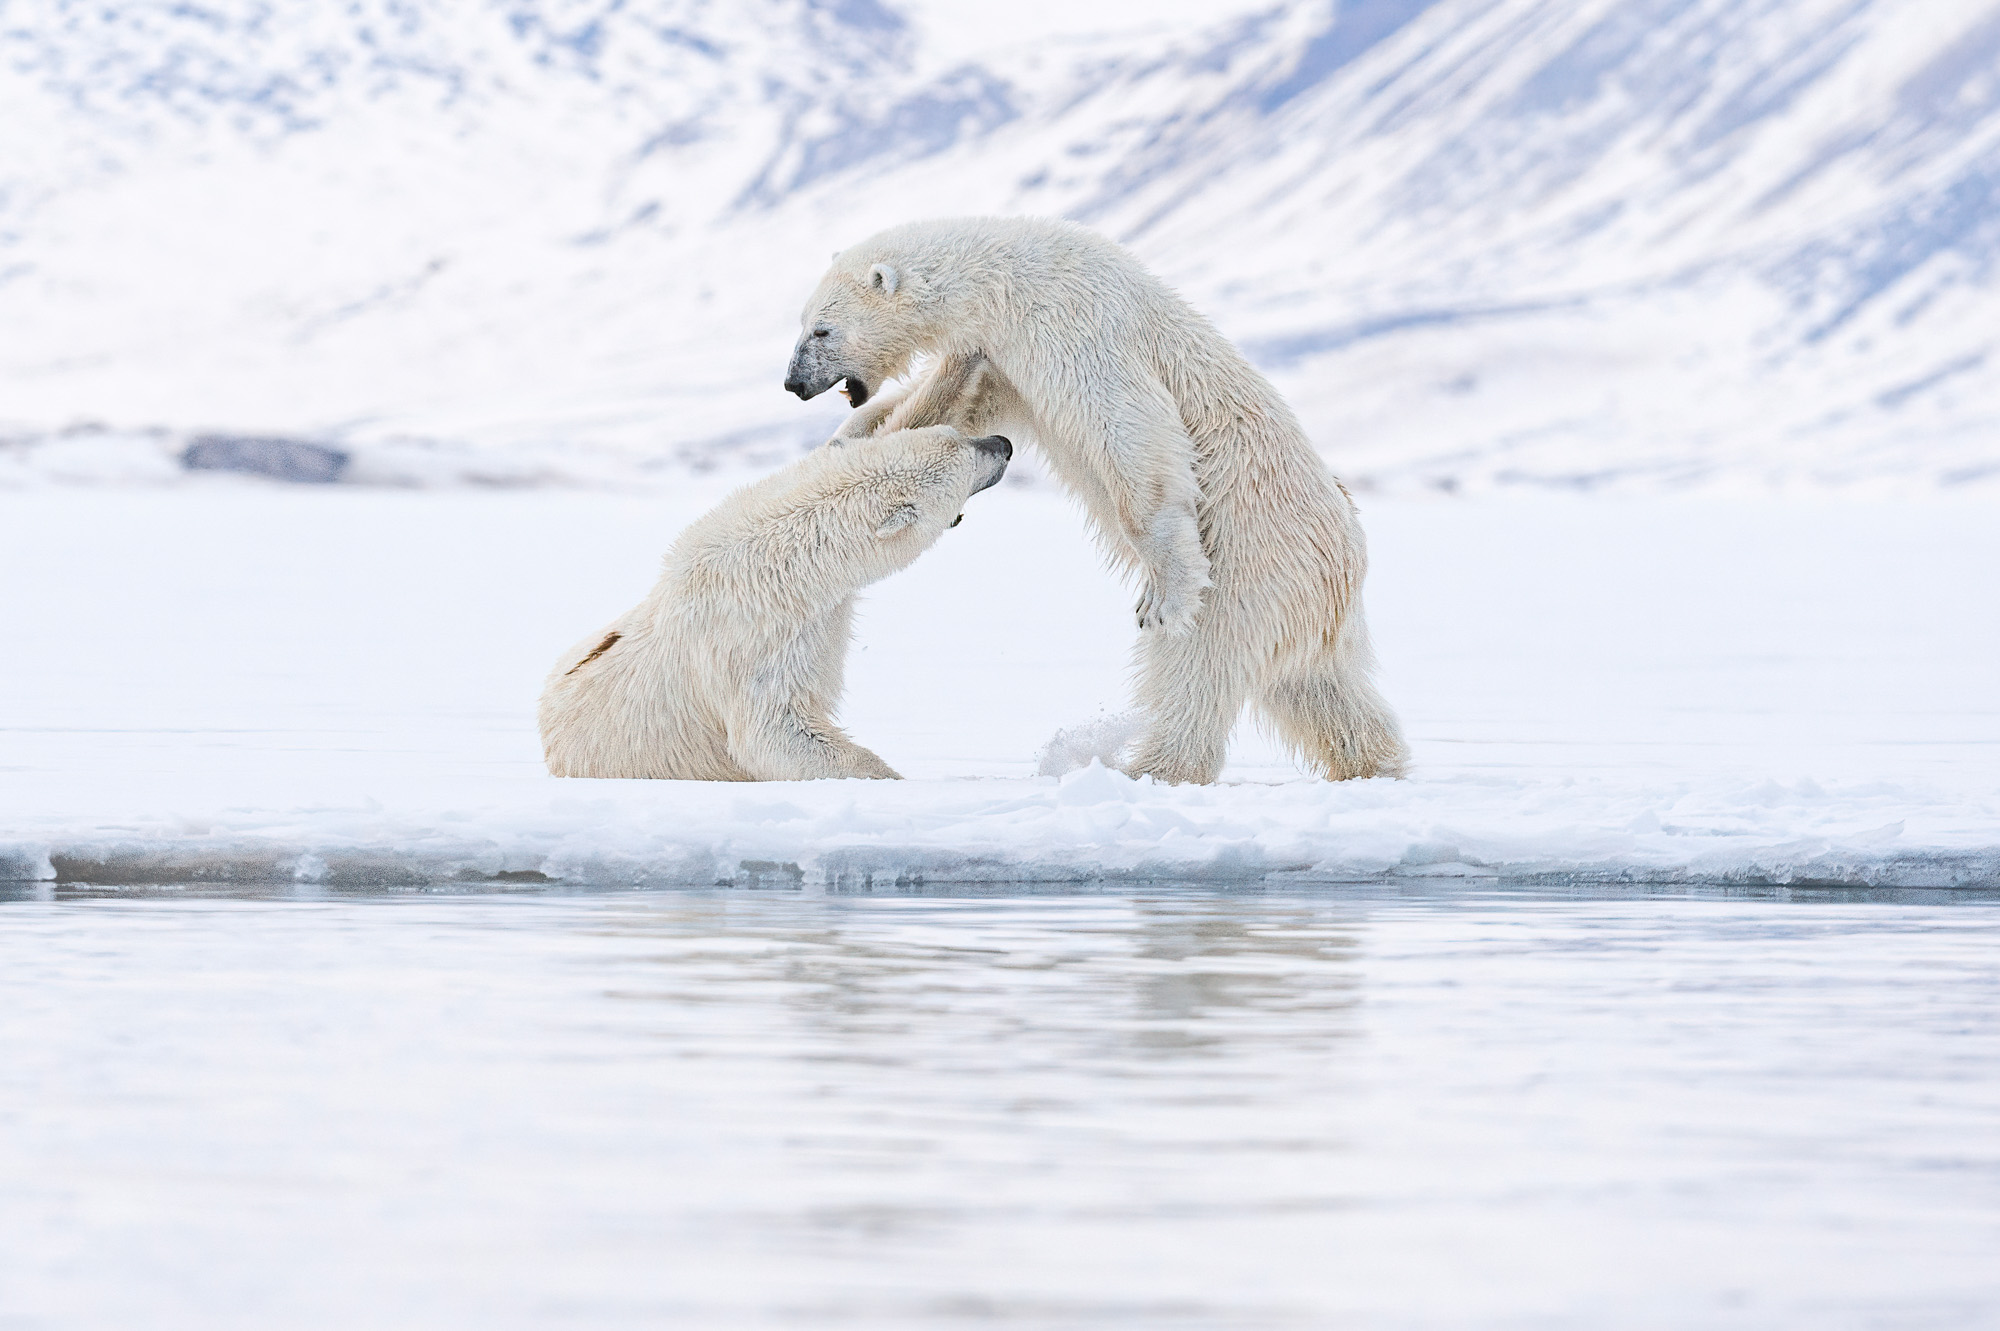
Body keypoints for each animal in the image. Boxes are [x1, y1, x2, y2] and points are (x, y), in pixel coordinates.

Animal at [544, 421, 1016, 779]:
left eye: (956, 431)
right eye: (968, 460)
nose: (1004, 444)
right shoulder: (754, 644)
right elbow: (773, 732)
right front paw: (885, 777)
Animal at [780, 212, 1408, 783]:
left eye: (821, 331)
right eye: (804, 323)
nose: (794, 383)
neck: (1009, 275)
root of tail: (1344, 564)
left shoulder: (1074, 324)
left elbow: (1129, 426)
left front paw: (1163, 593)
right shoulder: (1006, 355)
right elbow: (971, 402)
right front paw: (850, 439)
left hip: (1252, 569)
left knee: (1197, 670)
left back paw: (1150, 769)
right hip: (1306, 608)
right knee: (1321, 689)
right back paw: (1373, 762)